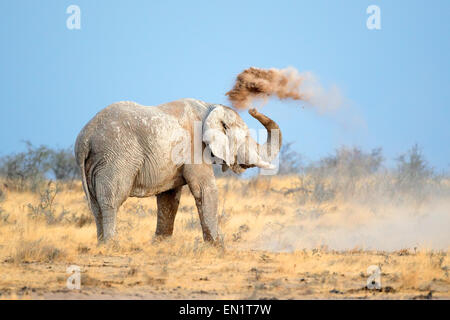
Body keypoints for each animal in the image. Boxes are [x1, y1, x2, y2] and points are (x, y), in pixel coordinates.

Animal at [75, 97, 284, 242]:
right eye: (246, 136)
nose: (252, 108)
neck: (209, 107)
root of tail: (85, 138)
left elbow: (169, 199)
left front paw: (160, 245)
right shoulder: (194, 148)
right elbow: (205, 190)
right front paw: (219, 248)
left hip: (96, 162)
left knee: (95, 206)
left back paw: (101, 244)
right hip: (116, 158)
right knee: (111, 200)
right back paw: (112, 245)